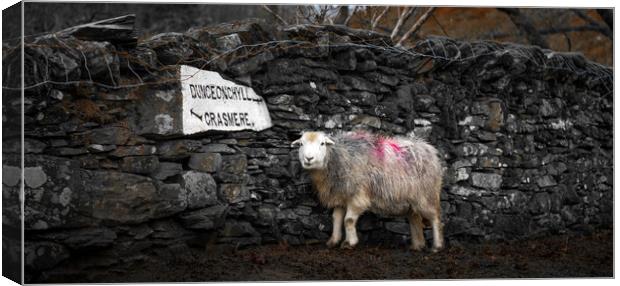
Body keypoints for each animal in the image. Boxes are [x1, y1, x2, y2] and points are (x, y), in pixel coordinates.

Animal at [292, 131, 444, 251]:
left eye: (322, 143)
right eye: (301, 144)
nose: (308, 158)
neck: (338, 157)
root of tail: (430, 150)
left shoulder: (358, 195)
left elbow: (348, 220)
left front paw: (350, 243)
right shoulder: (342, 195)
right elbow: (336, 218)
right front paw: (333, 241)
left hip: (427, 195)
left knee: (435, 218)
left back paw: (437, 246)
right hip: (412, 199)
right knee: (415, 218)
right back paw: (417, 246)